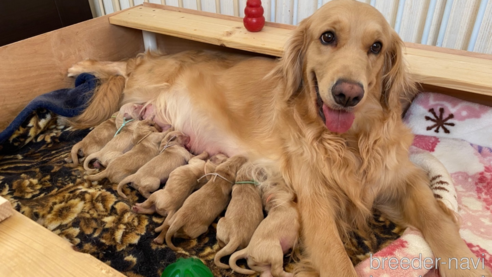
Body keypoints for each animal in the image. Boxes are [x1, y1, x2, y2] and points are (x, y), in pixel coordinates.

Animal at [66, 1, 488, 274]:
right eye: (328, 37)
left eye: (376, 47)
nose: (347, 93)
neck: (349, 141)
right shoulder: (316, 204)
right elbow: (337, 261)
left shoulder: (401, 180)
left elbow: (441, 224)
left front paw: (467, 265)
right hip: (148, 76)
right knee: (125, 63)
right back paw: (78, 66)